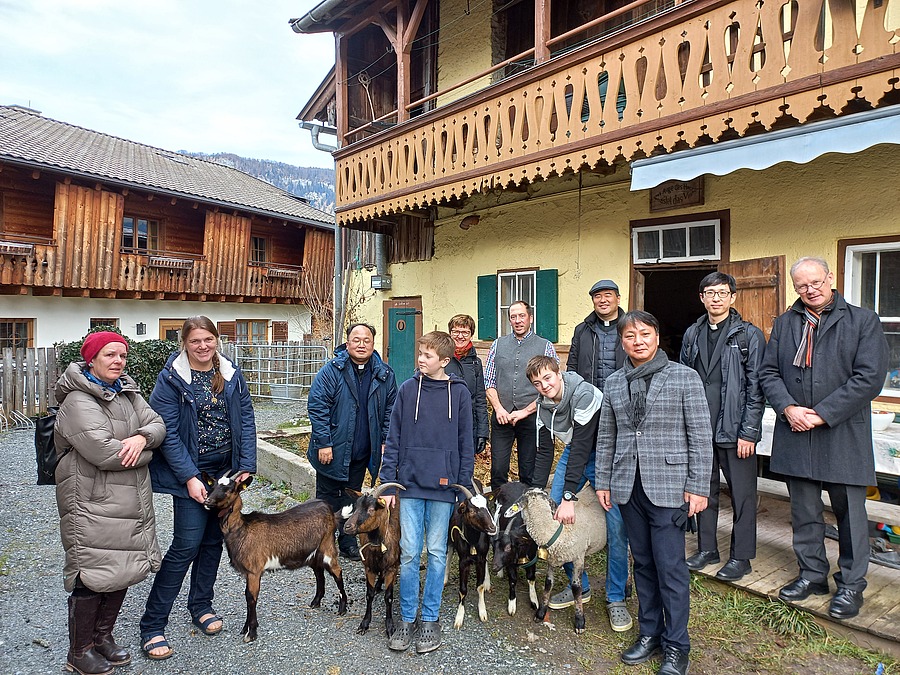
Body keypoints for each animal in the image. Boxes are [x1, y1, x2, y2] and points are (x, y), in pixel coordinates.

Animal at [203, 472, 348, 640]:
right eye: (212, 485)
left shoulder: (254, 571)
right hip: (313, 553)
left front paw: (251, 632)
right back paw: (315, 602)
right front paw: (246, 628)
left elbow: (251, 598)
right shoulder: (248, 573)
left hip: (327, 546)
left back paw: (342, 608)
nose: (207, 501)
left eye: (229, 489)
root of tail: (330, 509)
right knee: (319, 572)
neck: (242, 529)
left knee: (337, 571)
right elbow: (247, 596)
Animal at [342, 484, 404, 636]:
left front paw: (390, 626)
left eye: (371, 509)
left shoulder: (391, 568)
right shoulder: (369, 568)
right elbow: (369, 595)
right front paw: (364, 624)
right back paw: (378, 585)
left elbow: (388, 597)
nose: (347, 527)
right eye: (355, 507)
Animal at [442, 480, 500, 628]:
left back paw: (487, 581)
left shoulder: (480, 558)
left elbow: (479, 586)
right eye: (472, 510)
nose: (493, 527)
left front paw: (482, 611)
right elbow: (463, 590)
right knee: (449, 553)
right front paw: (459, 617)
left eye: (487, 507)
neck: (472, 541)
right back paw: (444, 578)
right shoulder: (463, 561)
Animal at [488, 480, 536, 616]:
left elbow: (531, 577)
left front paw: (534, 601)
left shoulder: (533, 557)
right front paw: (512, 605)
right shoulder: (510, 563)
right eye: (493, 547)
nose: (494, 567)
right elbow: (513, 579)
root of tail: (511, 482)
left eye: (508, 547)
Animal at [506, 486, 604, 632]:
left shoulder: (579, 558)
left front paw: (580, 621)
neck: (558, 532)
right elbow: (548, 584)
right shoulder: (552, 560)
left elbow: (576, 588)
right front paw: (541, 613)